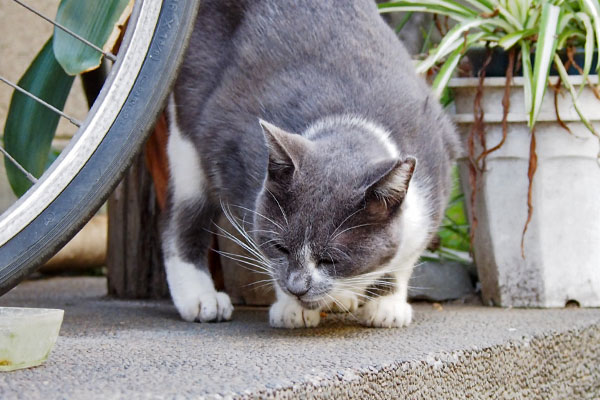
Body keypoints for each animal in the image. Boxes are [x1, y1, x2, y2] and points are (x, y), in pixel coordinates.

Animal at [162, 0, 458, 328]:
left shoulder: (437, 167)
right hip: (188, 132)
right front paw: (293, 308)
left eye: (331, 259)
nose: (297, 287)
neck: (350, 121)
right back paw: (200, 298)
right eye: (280, 247)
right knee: (181, 217)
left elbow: (404, 254)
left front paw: (386, 304)